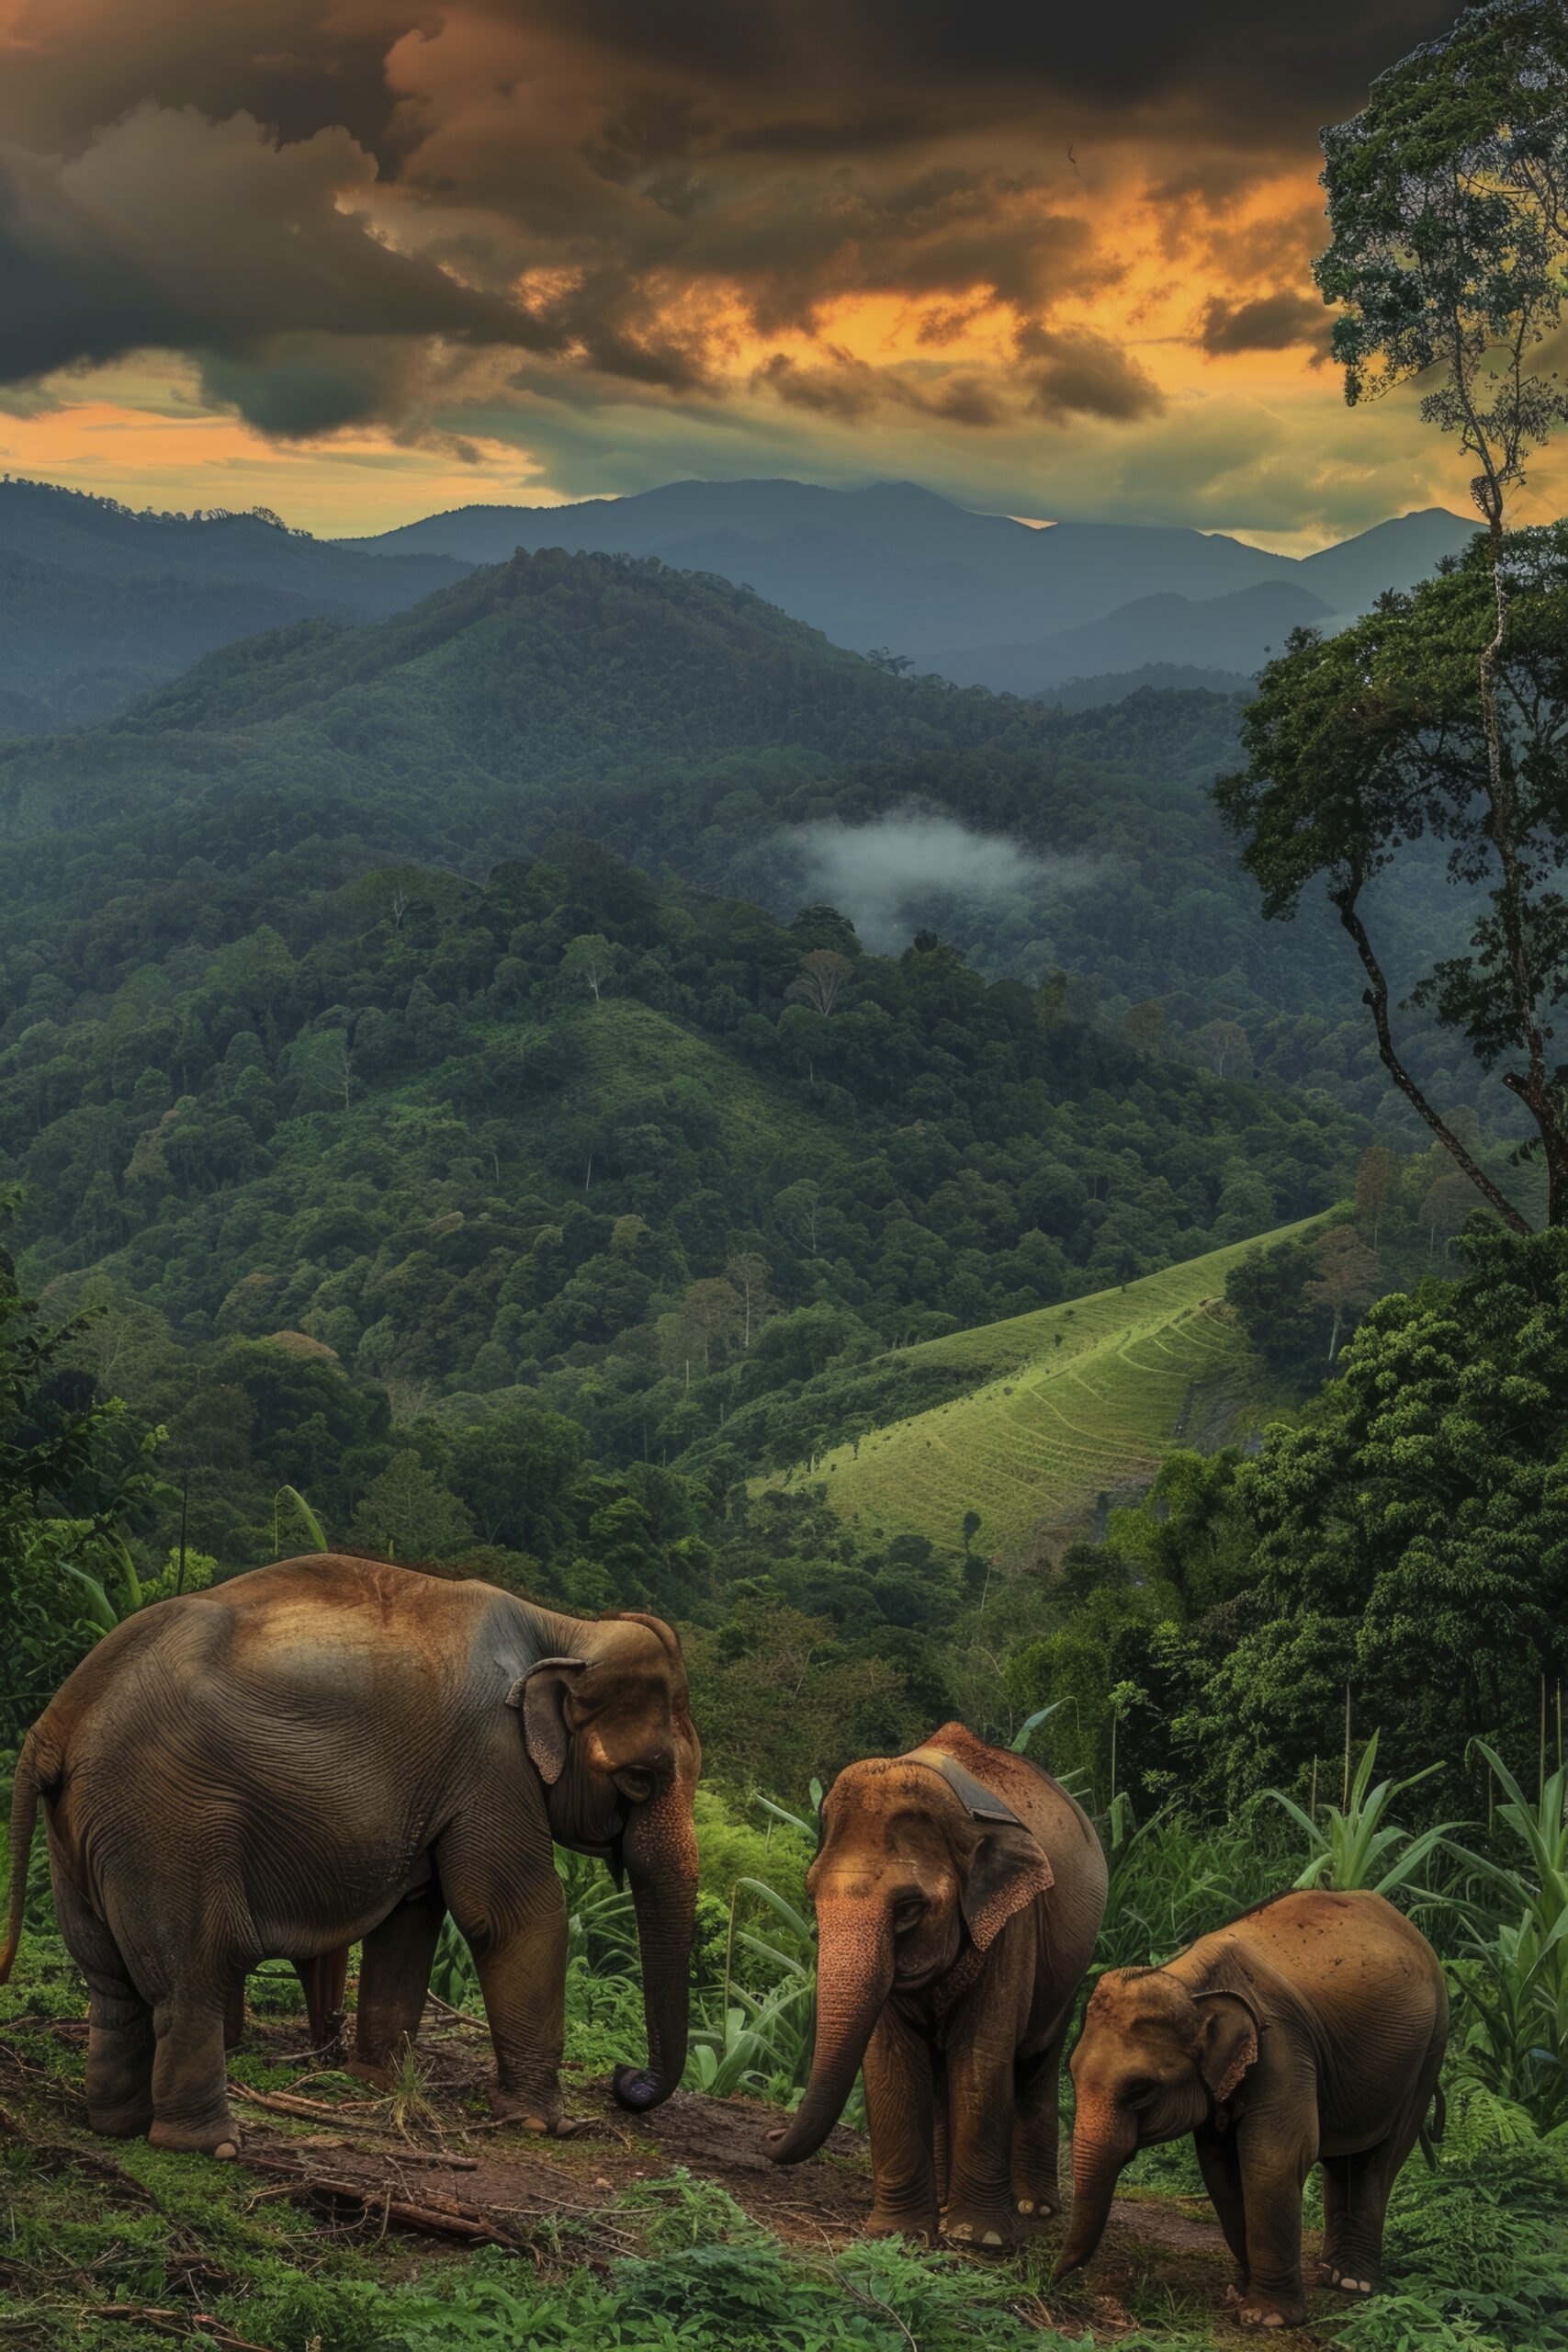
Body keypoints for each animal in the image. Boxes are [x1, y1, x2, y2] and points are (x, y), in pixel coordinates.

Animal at [0, 1554, 701, 2160]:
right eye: (641, 1779)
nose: (625, 2080)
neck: (563, 1627)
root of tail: (54, 1722)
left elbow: (414, 1913)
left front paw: (378, 2081)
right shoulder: (491, 1758)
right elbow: (509, 1914)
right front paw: (543, 2123)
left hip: (85, 1828)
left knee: (110, 1981)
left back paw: (116, 2127)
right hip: (168, 1820)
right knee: (192, 1970)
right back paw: (211, 2145)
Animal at [768, 1722, 1107, 2248]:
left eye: (908, 1909)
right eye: (811, 1895)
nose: (769, 2137)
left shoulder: (1015, 1921)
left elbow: (982, 2051)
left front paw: (979, 2237)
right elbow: (892, 2057)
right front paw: (901, 2233)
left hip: (1070, 1972)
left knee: (1036, 2062)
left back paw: (1033, 2209)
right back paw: (947, 2203)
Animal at [1056, 1888, 1449, 2329]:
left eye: (1140, 2091)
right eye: (1071, 2074)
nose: (1056, 2278)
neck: (1189, 1981)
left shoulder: (1281, 2048)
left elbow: (1274, 2159)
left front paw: (1267, 2318)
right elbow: (1221, 2165)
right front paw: (1241, 2294)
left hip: (1432, 2047)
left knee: (1379, 2159)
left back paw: (1352, 2284)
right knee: (1344, 2159)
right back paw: (1332, 2276)